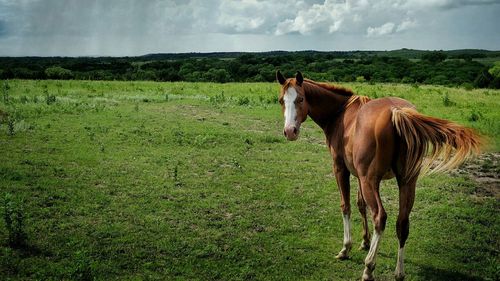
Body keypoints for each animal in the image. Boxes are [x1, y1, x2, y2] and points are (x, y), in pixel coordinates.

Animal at [276, 70, 482, 280]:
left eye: (301, 99)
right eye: (281, 100)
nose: (290, 131)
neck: (340, 113)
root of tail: (396, 112)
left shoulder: (341, 169)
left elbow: (346, 206)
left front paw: (346, 248)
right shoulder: (359, 175)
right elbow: (361, 204)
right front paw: (365, 241)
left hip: (370, 182)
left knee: (380, 217)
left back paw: (368, 268)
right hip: (406, 182)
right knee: (402, 223)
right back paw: (399, 272)